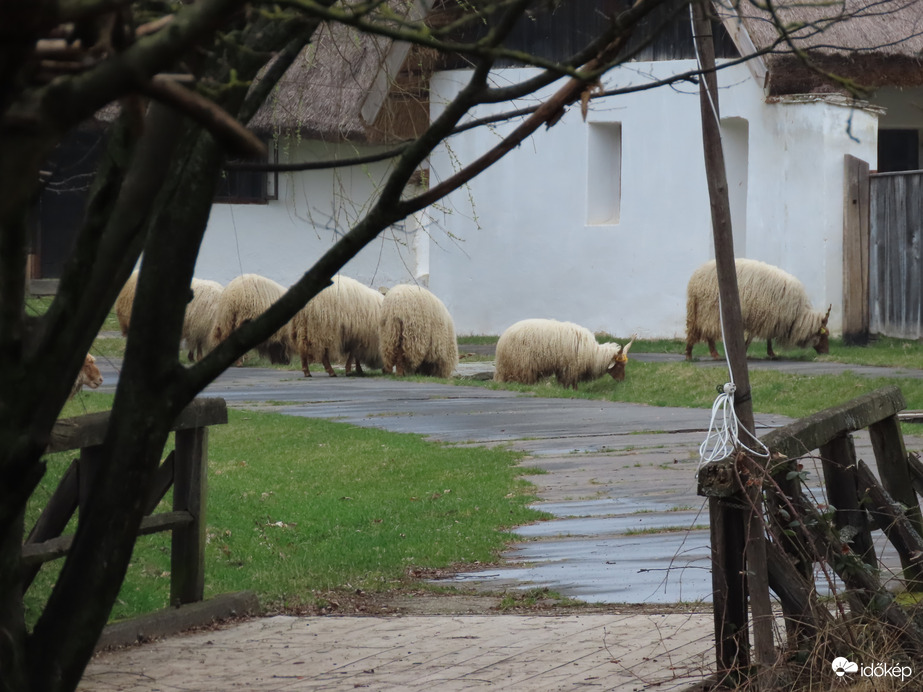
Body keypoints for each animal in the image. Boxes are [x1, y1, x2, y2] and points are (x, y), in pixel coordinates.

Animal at [498, 318, 636, 390]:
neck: (593, 354)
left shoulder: (563, 367)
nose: (622, 380)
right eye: (619, 365)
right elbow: (570, 382)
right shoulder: (571, 368)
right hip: (521, 365)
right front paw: (573, 391)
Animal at [684, 256, 832, 360]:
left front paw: (771, 353)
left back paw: (705, 353)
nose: (827, 353)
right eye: (824, 335)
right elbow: (754, 337)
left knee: (701, 331)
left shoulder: (770, 318)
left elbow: (768, 337)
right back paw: (694, 355)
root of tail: (696, 276)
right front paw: (750, 350)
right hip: (709, 310)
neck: (798, 315)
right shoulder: (764, 317)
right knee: (704, 331)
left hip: (699, 310)